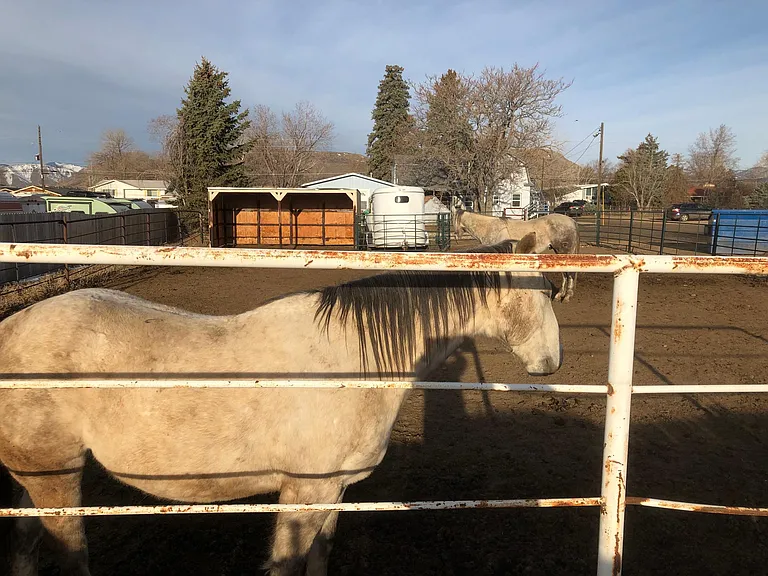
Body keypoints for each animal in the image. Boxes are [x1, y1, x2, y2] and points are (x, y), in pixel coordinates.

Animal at [0, 238, 562, 576]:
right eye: (543, 291)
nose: (551, 362)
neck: (351, 359)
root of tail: (12, 329)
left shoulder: (333, 489)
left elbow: (321, 554)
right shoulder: (304, 490)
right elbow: (289, 562)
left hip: (36, 476)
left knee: (24, 539)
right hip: (55, 475)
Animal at [450, 197, 580, 302]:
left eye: (452, 217)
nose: (456, 235)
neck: (490, 227)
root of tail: (572, 221)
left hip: (564, 251)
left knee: (569, 273)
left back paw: (566, 296)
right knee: (564, 273)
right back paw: (559, 295)